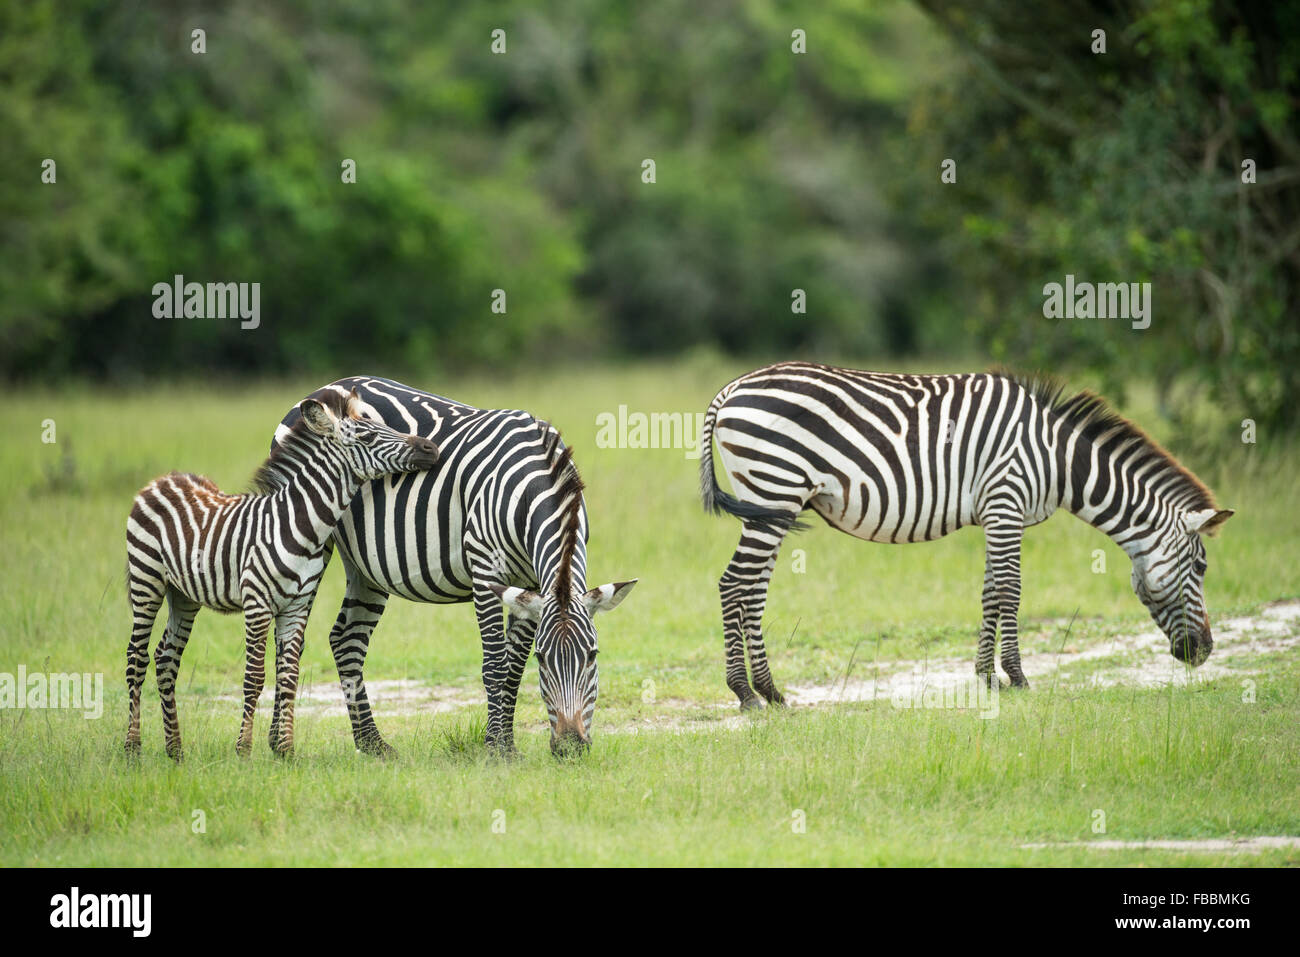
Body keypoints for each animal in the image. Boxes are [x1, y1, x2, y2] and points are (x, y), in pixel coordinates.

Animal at [126, 384, 441, 759]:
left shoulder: (296, 607)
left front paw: (287, 751)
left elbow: (289, 676)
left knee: (165, 658)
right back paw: (132, 748)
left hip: (184, 595)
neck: (297, 524)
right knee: (136, 657)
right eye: (366, 436)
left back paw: (175, 750)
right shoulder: (257, 605)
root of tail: (163, 479)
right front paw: (244, 750)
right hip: (146, 582)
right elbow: (254, 677)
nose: (431, 448)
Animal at [262, 377, 634, 759]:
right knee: (289, 640)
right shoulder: (486, 572)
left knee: (346, 639)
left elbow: (514, 666)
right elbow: (495, 665)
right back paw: (280, 743)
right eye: (544, 659)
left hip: (365, 566)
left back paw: (372, 744)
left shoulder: (529, 584)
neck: (532, 486)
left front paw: (509, 745)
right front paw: (496, 749)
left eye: (592, 656)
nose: (571, 747)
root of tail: (327, 387)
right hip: (307, 537)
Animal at [696, 361, 1232, 707]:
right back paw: (744, 694)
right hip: (774, 490)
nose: (1204, 652)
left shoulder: (997, 513)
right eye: (1201, 566)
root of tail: (730, 389)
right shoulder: (1006, 500)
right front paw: (1018, 677)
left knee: (753, 590)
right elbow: (1011, 590)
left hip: (769, 504)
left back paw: (770, 691)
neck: (1059, 461)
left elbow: (991, 592)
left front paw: (987, 678)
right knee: (732, 584)